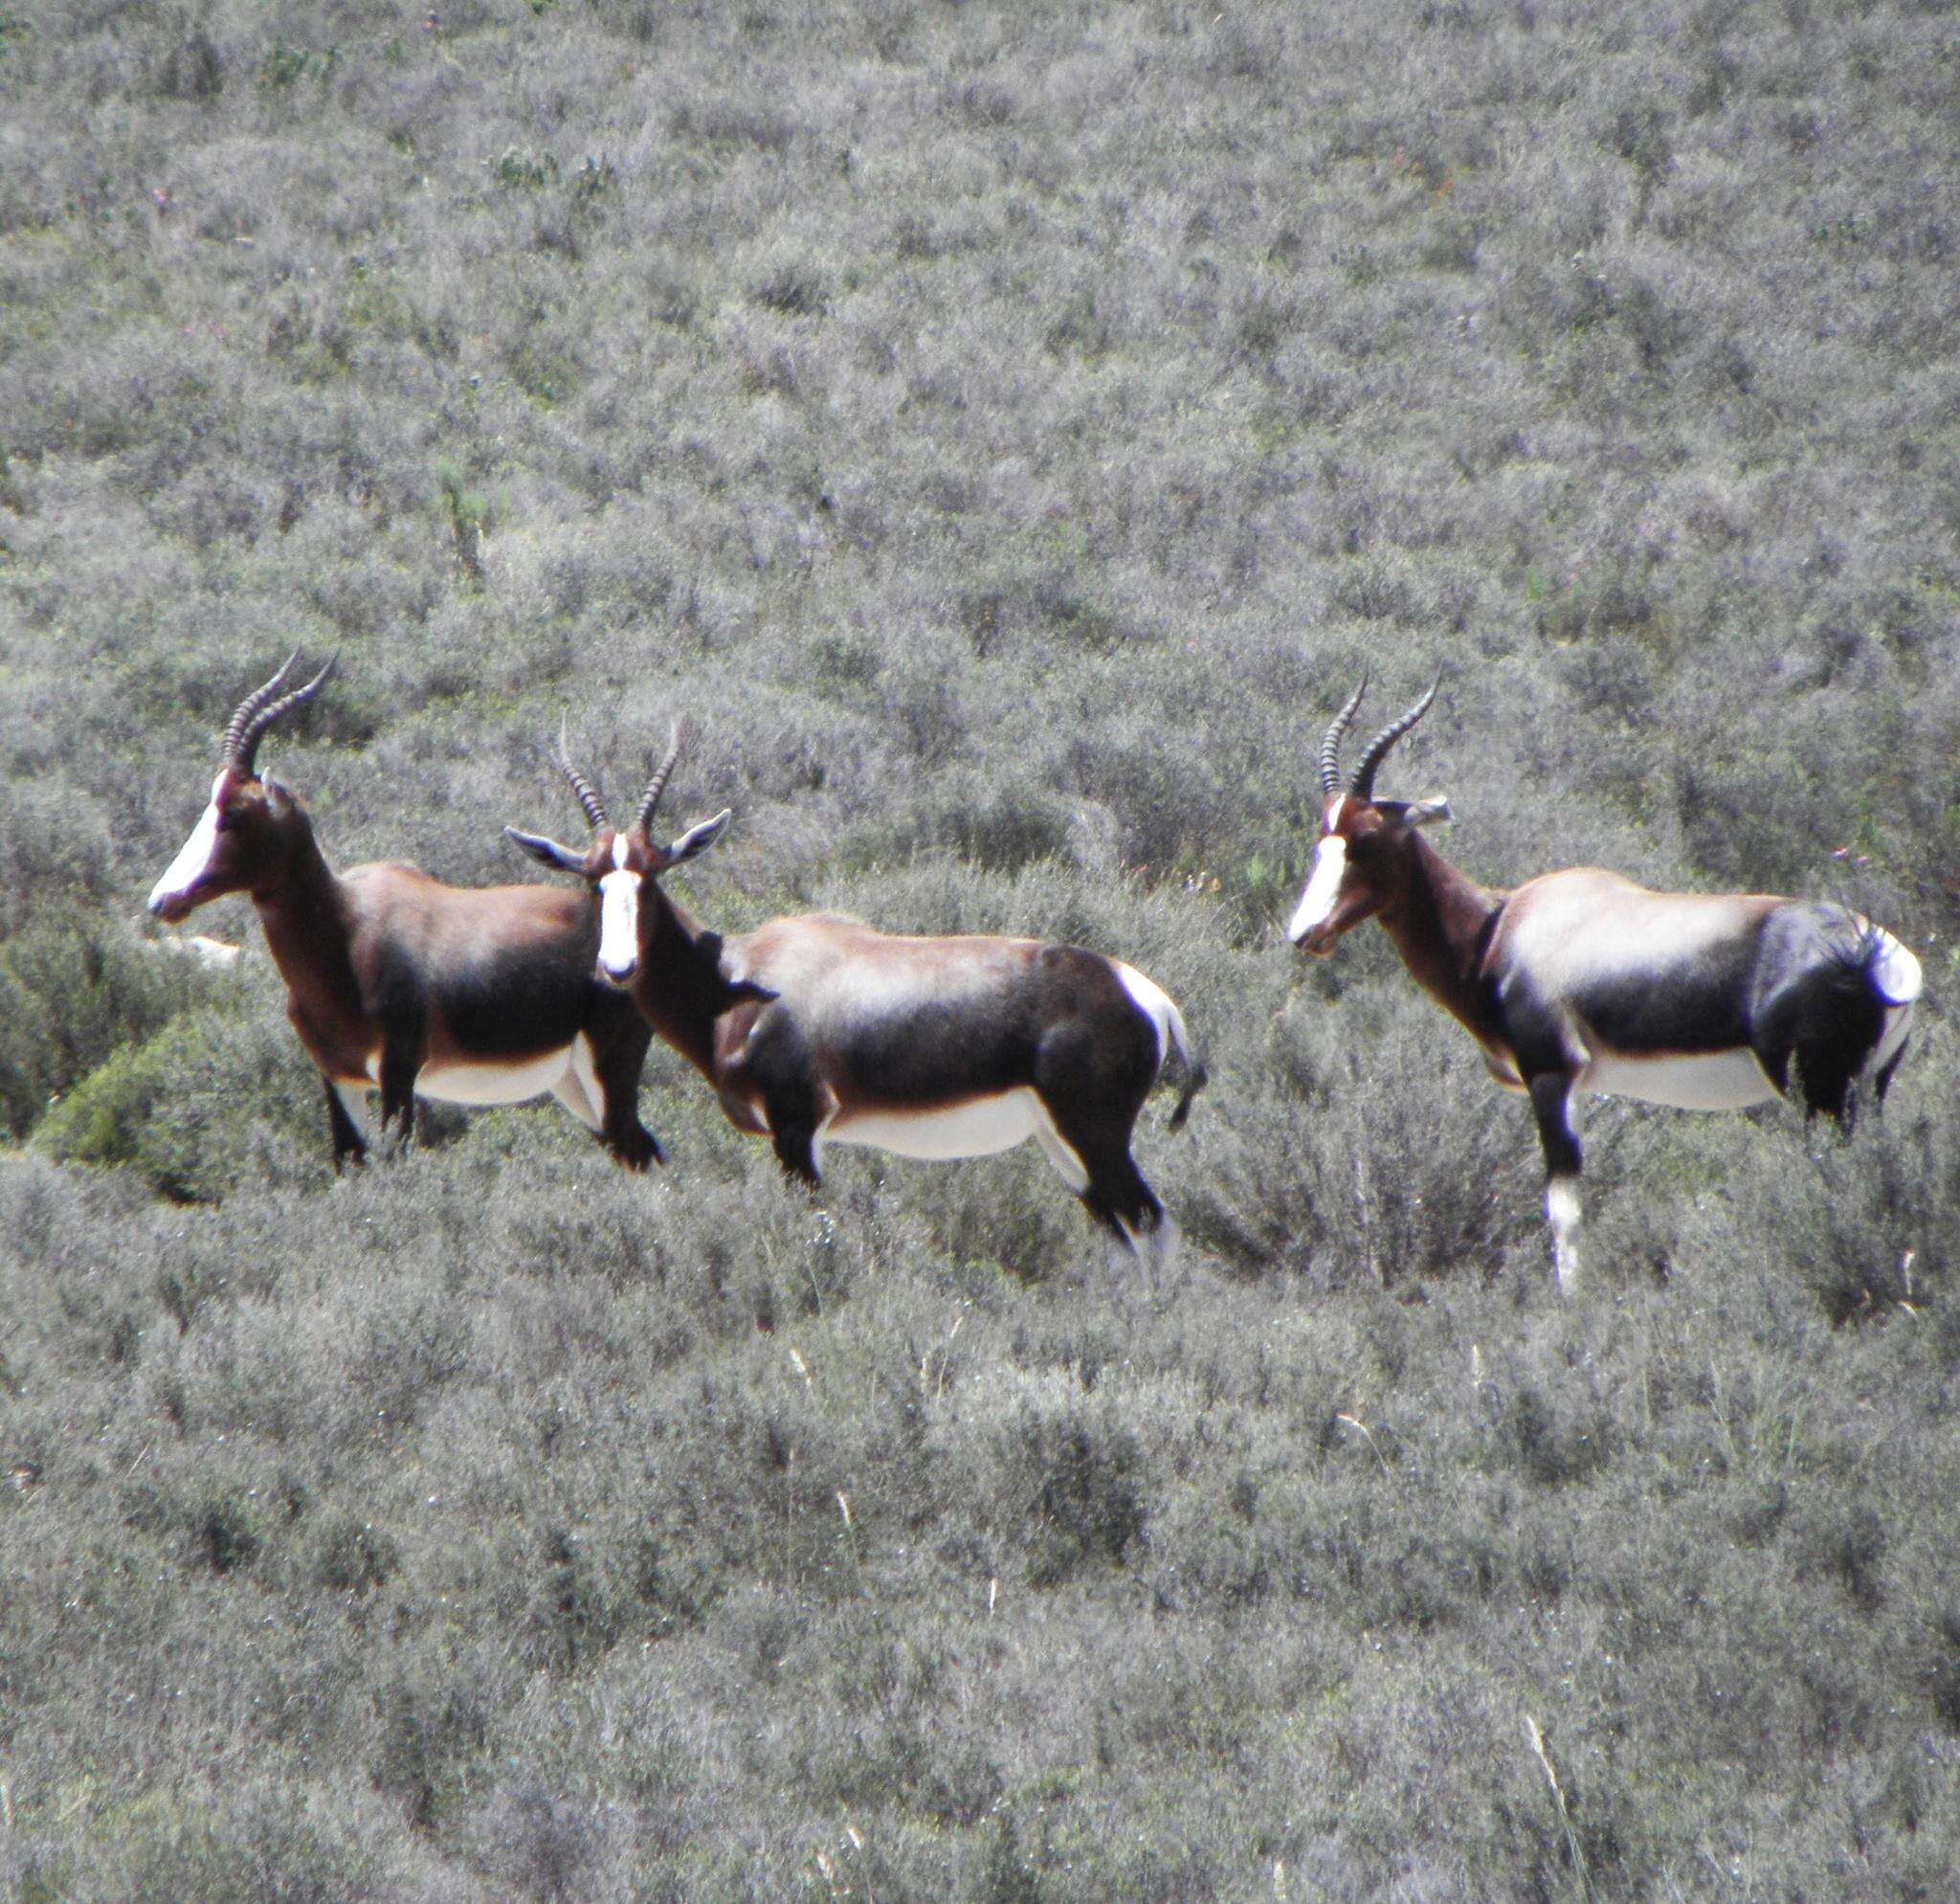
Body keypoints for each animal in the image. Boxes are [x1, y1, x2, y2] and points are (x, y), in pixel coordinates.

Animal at [145, 670, 662, 1176]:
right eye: (209, 803)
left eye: (233, 812)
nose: (162, 900)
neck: (346, 928)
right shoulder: (338, 1076)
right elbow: (350, 1165)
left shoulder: (398, 1073)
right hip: (573, 1084)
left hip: (606, 1072)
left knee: (641, 1152)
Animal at [505, 729, 1207, 1263]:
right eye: (591, 878)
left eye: (653, 874)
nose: (618, 967)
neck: (741, 975)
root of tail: (1146, 994)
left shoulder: (798, 1127)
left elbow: (818, 1234)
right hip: (1063, 1144)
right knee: (1124, 1234)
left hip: (1095, 1135)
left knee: (1154, 1225)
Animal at [1285, 674, 1912, 1293]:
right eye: (1322, 833)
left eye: (1367, 838)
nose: (1303, 933)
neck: (1501, 928)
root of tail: (1876, 952)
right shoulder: (1580, 1087)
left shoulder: (1550, 1077)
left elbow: (1562, 1211)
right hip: (1868, 1088)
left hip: (1820, 1091)